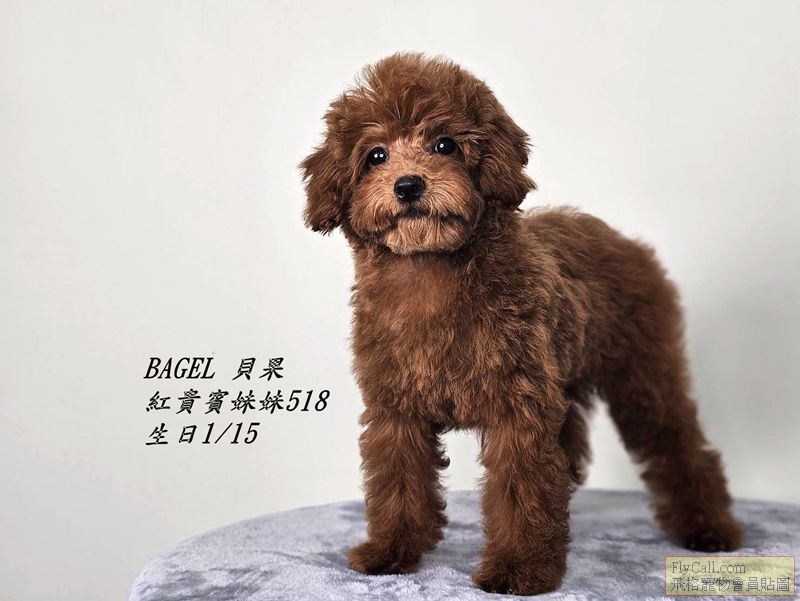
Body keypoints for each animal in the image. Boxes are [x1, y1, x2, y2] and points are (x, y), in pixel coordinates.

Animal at [300, 53, 742, 596]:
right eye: (376, 156)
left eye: (444, 144)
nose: (408, 185)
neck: (430, 274)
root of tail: (627, 241)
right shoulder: (396, 410)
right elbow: (396, 484)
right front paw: (390, 551)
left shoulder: (519, 407)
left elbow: (521, 491)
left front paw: (518, 568)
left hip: (642, 375)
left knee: (679, 443)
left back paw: (709, 529)